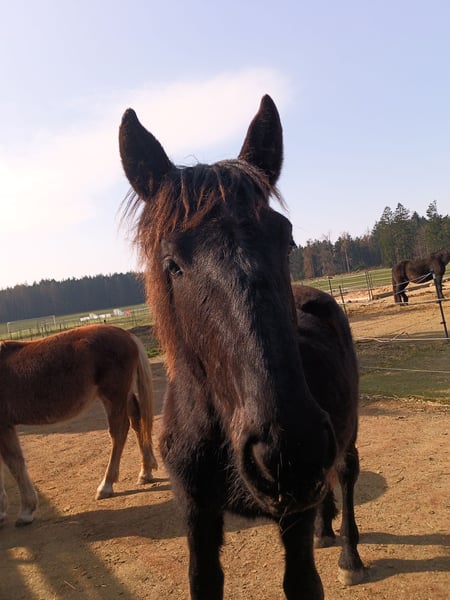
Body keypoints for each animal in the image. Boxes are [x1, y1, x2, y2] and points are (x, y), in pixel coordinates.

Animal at [0, 324, 157, 527]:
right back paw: (145, 472)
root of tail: (126, 334)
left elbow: (14, 463)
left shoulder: (4, 426)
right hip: (125, 394)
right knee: (137, 422)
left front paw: (26, 510)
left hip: (113, 395)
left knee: (119, 431)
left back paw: (106, 485)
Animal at [119, 95, 364, 599]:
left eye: (286, 241)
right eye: (172, 264)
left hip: (345, 434)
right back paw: (325, 529)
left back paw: (350, 554)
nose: (291, 448)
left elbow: (302, 582)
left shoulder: (292, 514)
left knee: (347, 474)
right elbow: (204, 580)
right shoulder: (197, 513)